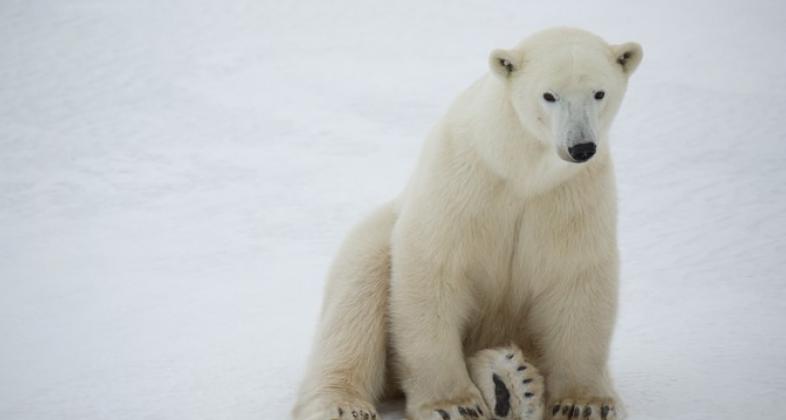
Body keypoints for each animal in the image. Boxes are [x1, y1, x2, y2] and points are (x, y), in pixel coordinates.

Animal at [290, 27, 640, 420]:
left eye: (599, 92)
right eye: (549, 95)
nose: (580, 147)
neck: (520, 170)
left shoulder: (571, 197)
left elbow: (577, 279)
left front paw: (584, 404)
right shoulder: (464, 183)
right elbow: (435, 269)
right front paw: (453, 405)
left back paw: (513, 383)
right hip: (372, 241)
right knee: (357, 302)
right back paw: (344, 404)